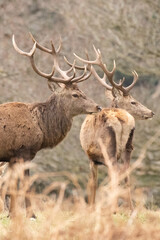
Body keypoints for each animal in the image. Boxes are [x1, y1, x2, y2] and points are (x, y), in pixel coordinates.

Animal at [0, 34, 101, 218]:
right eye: (75, 95)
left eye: (82, 92)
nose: (98, 107)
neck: (42, 127)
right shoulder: (23, 151)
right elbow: (25, 185)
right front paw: (31, 215)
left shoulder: (12, 157)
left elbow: (11, 185)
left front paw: (12, 214)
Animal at [65, 46, 154, 209]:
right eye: (133, 102)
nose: (151, 112)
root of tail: (121, 119)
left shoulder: (91, 158)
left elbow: (93, 183)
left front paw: (91, 208)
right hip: (128, 146)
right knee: (126, 172)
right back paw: (130, 209)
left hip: (109, 147)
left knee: (116, 172)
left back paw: (113, 209)